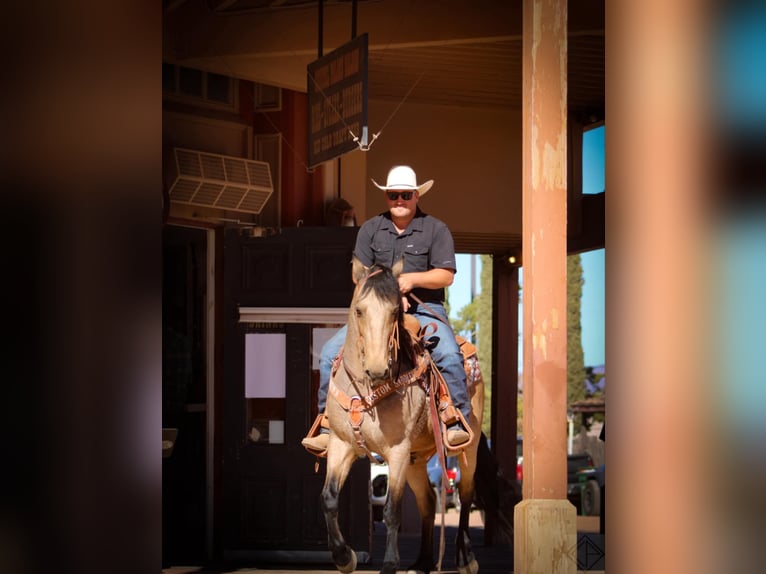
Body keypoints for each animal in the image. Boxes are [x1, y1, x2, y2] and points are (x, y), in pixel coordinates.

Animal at [318, 258, 516, 574]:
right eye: (359, 310)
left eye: (395, 311)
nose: (377, 369)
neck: (366, 391)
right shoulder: (342, 445)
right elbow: (328, 499)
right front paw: (344, 557)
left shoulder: (397, 451)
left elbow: (392, 510)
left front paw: (389, 564)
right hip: (416, 459)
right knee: (429, 501)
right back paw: (423, 562)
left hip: (467, 450)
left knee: (466, 494)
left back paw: (465, 558)